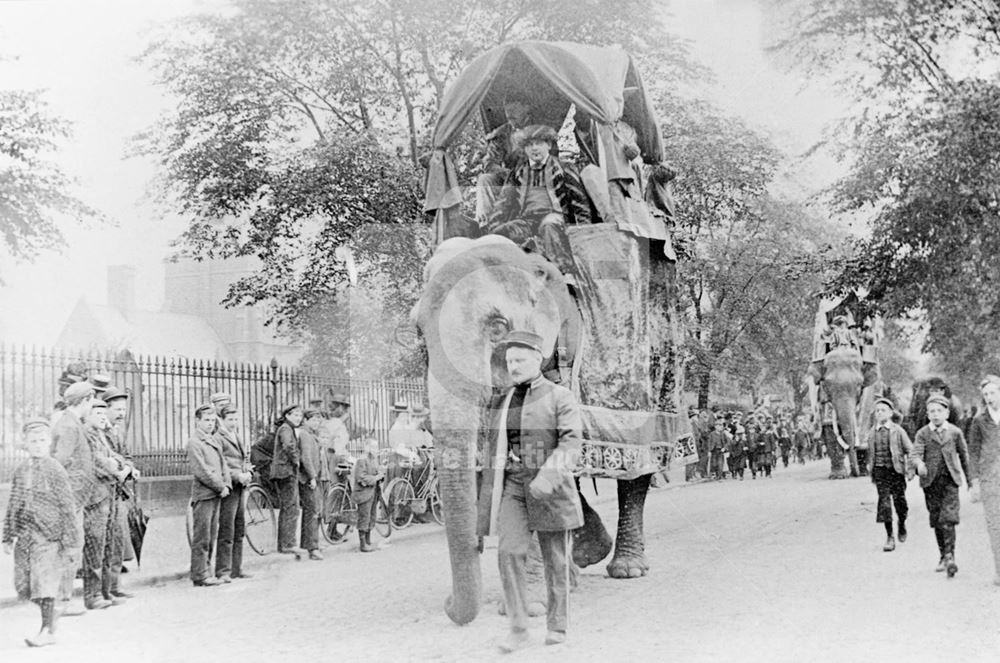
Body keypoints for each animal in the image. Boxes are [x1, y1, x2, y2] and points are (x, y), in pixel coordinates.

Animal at [410, 235, 652, 628]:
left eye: (497, 328)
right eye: (419, 331)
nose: (447, 606)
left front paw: (532, 606)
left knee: (635, 471)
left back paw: (626, 568)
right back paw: (584, 559)